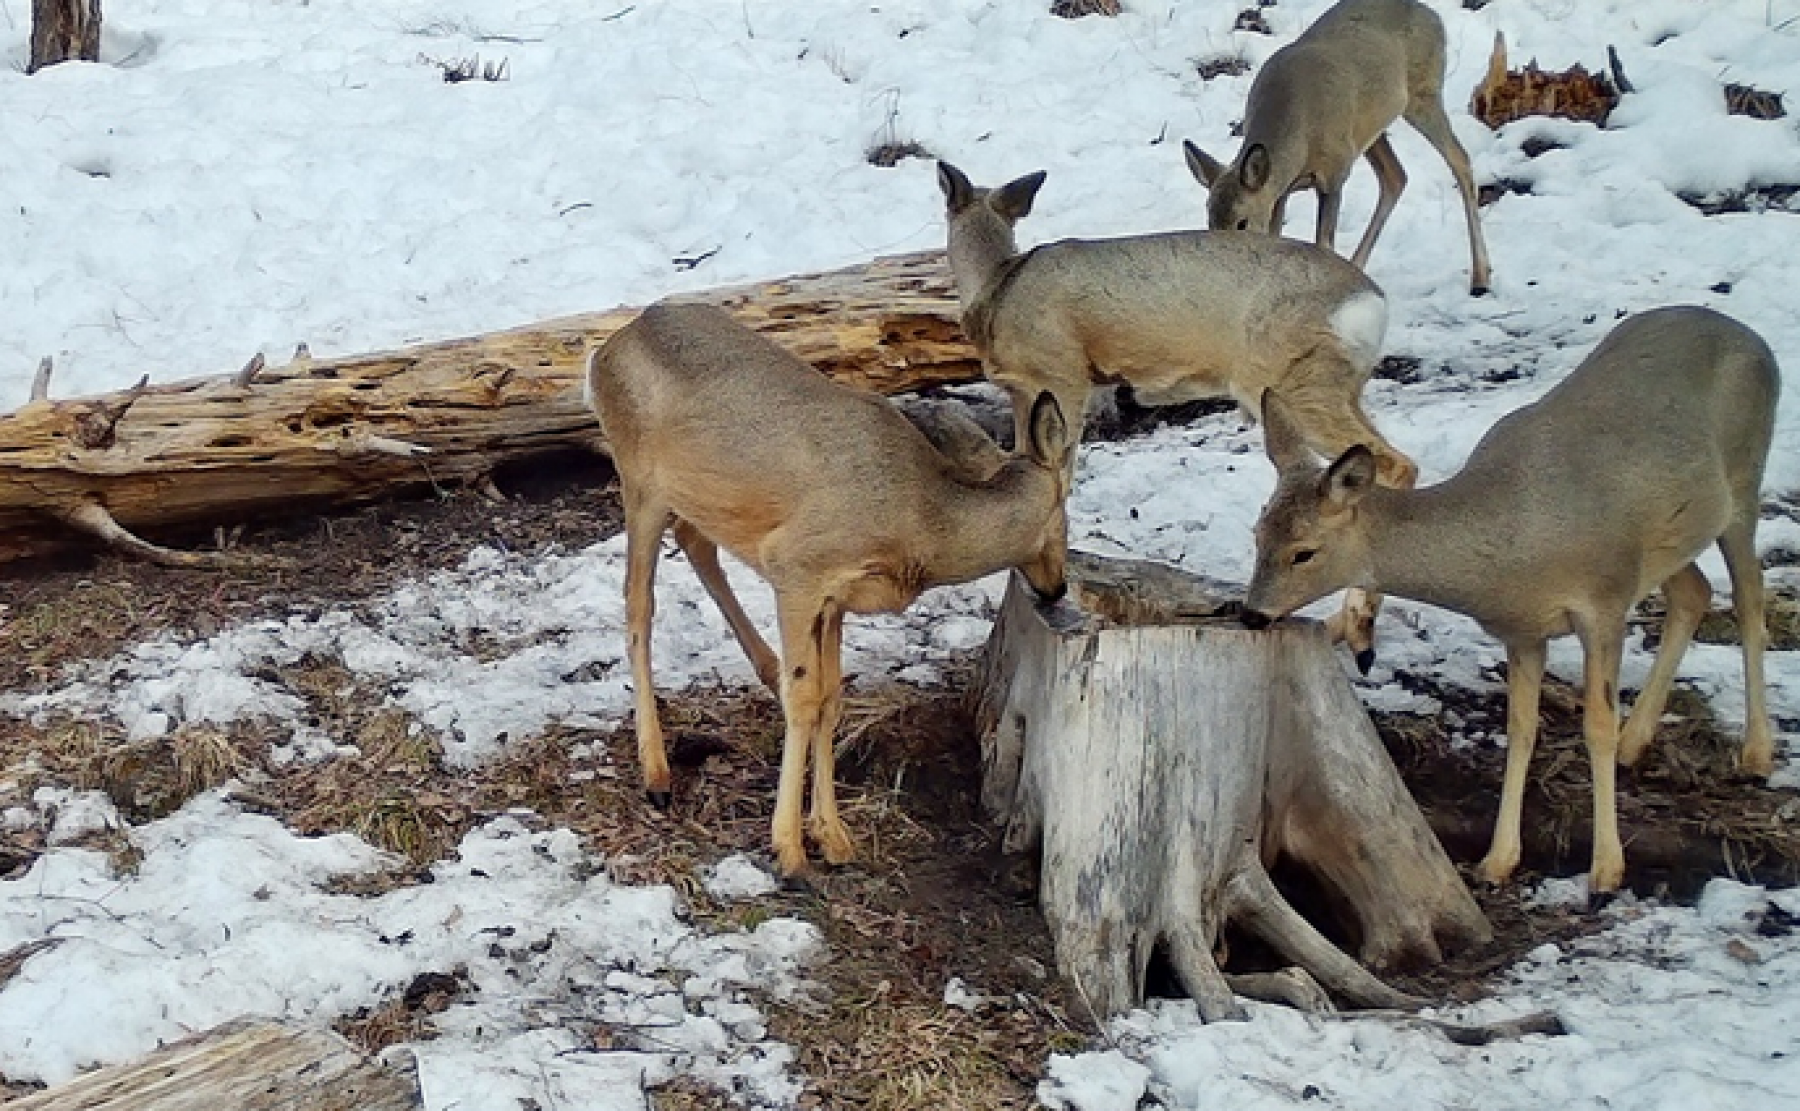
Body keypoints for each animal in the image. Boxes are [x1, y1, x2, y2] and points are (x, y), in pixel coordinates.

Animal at [586, 300, 1065, 875]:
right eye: (1065, 509)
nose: (1059, 587)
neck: (919, 523)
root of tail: (606, 349)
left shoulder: (836, 598)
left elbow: (832, 697)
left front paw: (833, 835)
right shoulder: (797, 567)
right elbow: (805, 698)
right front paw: (789, 850)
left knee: (695, 542)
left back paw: (762, 668)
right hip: (639, 480)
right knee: (639, 606)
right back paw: (657, 772)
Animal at [936, 155, 1411, 666]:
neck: (999, 288)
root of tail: (1372, 303)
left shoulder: (1062, 376)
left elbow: (1060, 474)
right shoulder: (1026, 392)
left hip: (1293, 381)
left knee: (1396, 464)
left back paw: (1357, 629)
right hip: (1341, 385)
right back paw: (1347, 627)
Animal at [1188, 0, 1497, 295]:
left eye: (1242, 223)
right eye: (1209, 218)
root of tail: (1431, 14)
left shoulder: (1335, 173)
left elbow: (1323, 244)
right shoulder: (1281, 190)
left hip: (1423, 94)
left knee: (1459, 159)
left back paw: (1481, 279)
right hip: (1372, 130)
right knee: (1395, 176)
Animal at [1245, 302, 1778, 893]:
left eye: (1304, 553)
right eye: (1257, 534)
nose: (1251, 614)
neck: (1516, 550)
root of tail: (1752, 337)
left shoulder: (1605, 600)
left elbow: (1595, 724)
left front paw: (1607, 869)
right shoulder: (1523, 631)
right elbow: (1521, 729)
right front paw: (1498, 860)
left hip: (1744, 481)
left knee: (1751, 599)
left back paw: (1757, 752)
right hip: (1674, 539)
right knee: (1695, 592)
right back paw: (1637, 741)